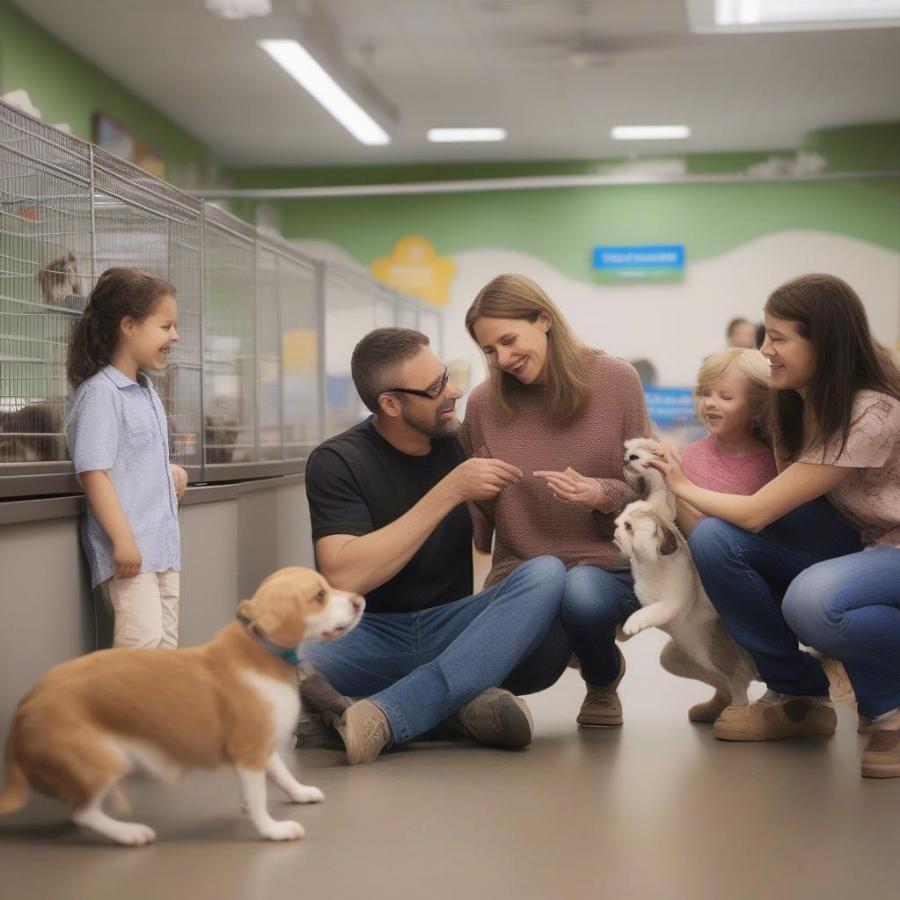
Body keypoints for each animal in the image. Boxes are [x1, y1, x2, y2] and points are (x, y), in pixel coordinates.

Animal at [1, 568, 366, 844]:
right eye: (319, 595)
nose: (360, 600)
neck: (260, 650)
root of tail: (24, 709)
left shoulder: (261, 746)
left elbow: (280, 773)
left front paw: (299, 792)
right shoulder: (248, 751)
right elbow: (258, 798)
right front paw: (271, 829)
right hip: (104, 760)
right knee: (83, 813)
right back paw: (130, 834)